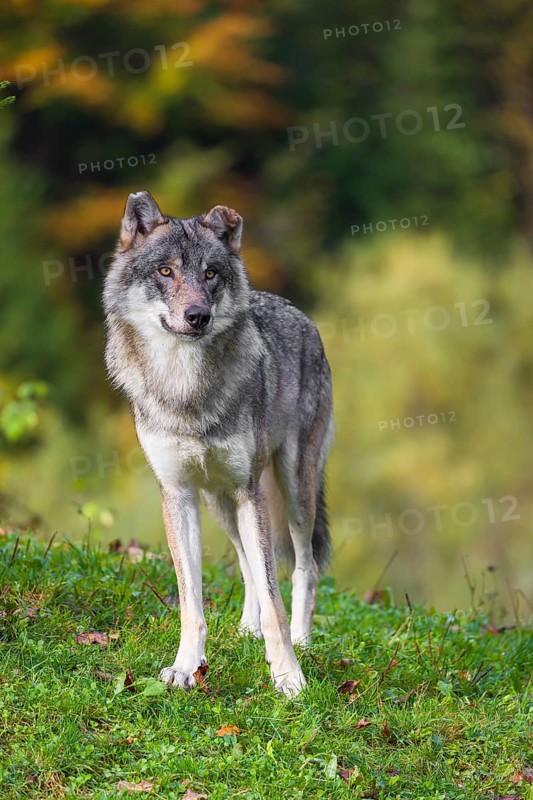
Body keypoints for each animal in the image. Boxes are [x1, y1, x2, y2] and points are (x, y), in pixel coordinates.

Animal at [103, 191, 334, 697]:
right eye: (165, 271)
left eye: (210, 273)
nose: (198, 316)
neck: (186, 388)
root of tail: (299, 313)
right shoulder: (179, 496)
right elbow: (193, 602)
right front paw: (186, 668)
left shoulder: (249, 492)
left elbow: (274, 600)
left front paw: (288, 675)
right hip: (220, 502)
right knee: (248, 563)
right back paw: (246, 630)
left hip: (291, 490)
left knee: (303, 566)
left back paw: (303, 641)